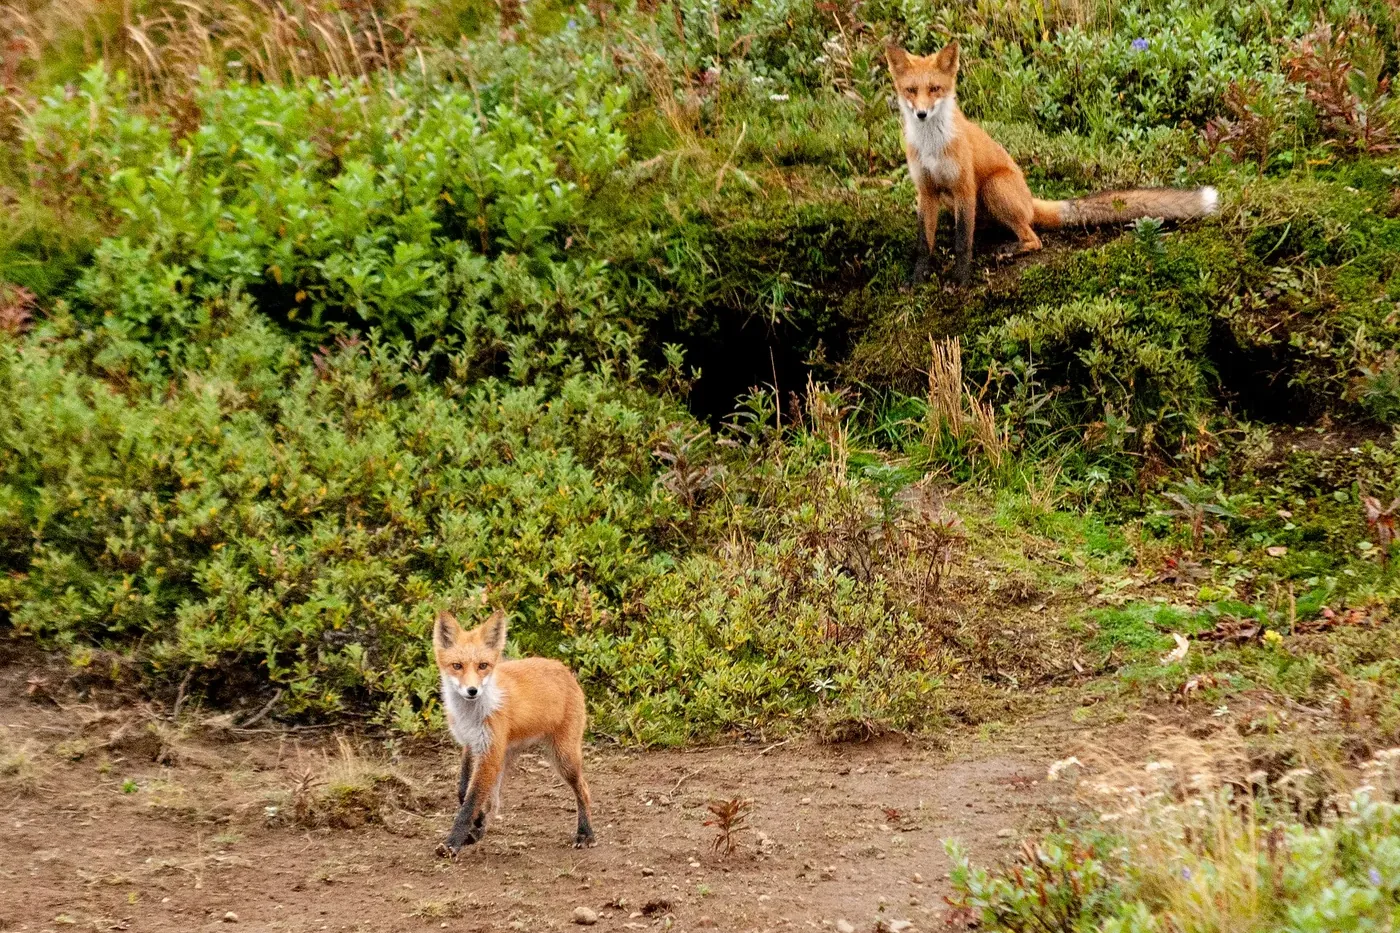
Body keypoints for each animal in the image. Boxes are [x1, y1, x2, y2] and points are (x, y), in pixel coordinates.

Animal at [431, 608, 596, 855]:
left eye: (483, 666)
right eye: (457, 666)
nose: (472, 691)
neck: (471, 714)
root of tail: (562, 667)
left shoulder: (489, 751)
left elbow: (470, 802)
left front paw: (452, 843)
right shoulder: (471, 744)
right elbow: (464, 791)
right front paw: (476, 823)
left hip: (563, 757)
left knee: (584, 789)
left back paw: (586, 833)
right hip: (506, 755)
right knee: (495, 800)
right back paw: (478, 830)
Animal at [886, 40, 1218, 287]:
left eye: (935, 89)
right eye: (911, 91)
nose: (921, 114)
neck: (932, 146)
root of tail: (1029, 199)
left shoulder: (964, 186)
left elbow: (961, 243)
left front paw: (960, 279)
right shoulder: (926, 192)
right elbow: (923, 244)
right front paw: (916, 280)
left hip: (993, 188)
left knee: (1033, 237)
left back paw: (1010, 249)